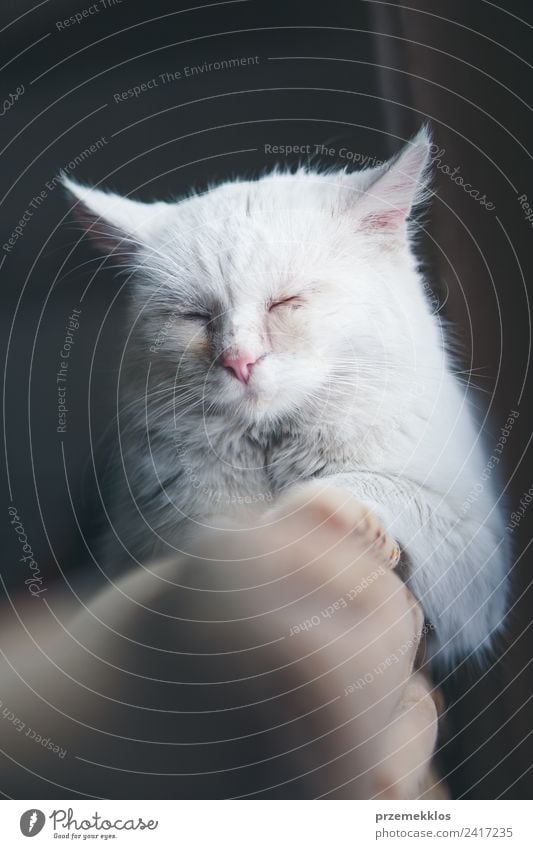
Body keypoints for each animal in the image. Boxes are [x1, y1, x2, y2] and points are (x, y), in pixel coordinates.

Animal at [64, 127, 510, 668]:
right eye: (195, 317)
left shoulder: (473, 556)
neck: (272, 447)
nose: (240, 361)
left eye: (286, 302)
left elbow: (357, 486)